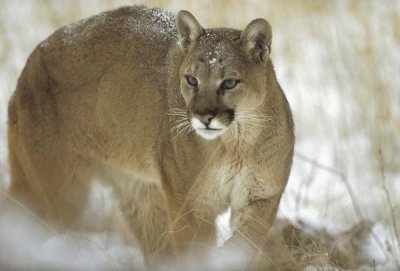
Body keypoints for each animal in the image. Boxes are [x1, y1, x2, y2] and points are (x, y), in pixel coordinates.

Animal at [6, 5, 294, 268]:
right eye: (191, 80)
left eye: (229, 83)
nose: (204, 116)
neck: (236, 141)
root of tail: (30, 62)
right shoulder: (189, 206)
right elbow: (194, 251)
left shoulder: (262, 195)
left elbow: (246, 239)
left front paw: (229, 258)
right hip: (57, 192)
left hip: (141, 195)